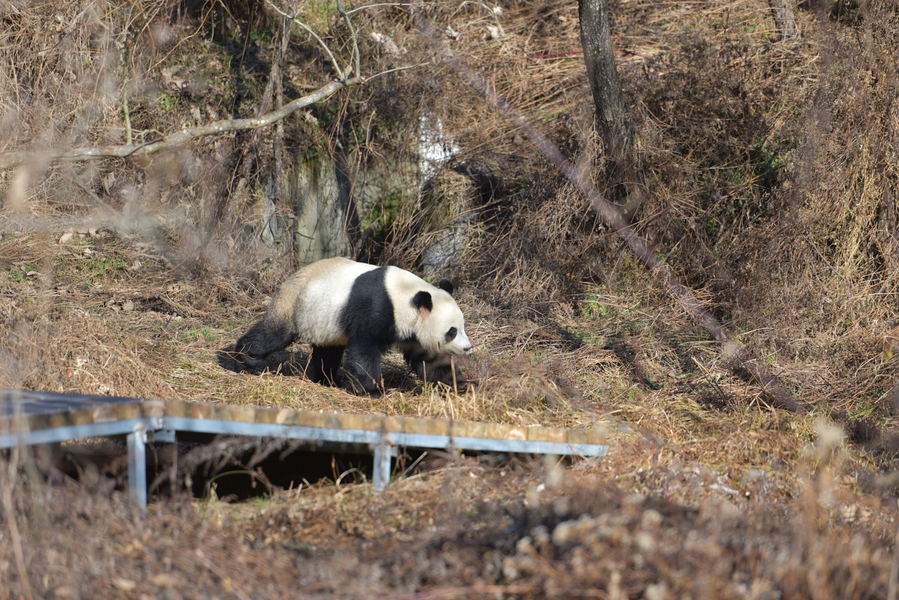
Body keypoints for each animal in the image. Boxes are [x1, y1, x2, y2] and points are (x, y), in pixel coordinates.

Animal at [236, 256, 474, 394]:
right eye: (452, 331)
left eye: (462, 327)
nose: (467, 348)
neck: (404, 295)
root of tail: (290, 277)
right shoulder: (376, 307)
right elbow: (364, 349)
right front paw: (374, 391)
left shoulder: (411, 327)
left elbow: (427, 358)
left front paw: (460, 383)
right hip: (295, 304)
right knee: (273, 334)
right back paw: (242, 357)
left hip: (325, 323)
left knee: (328, 352)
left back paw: (326, 380)